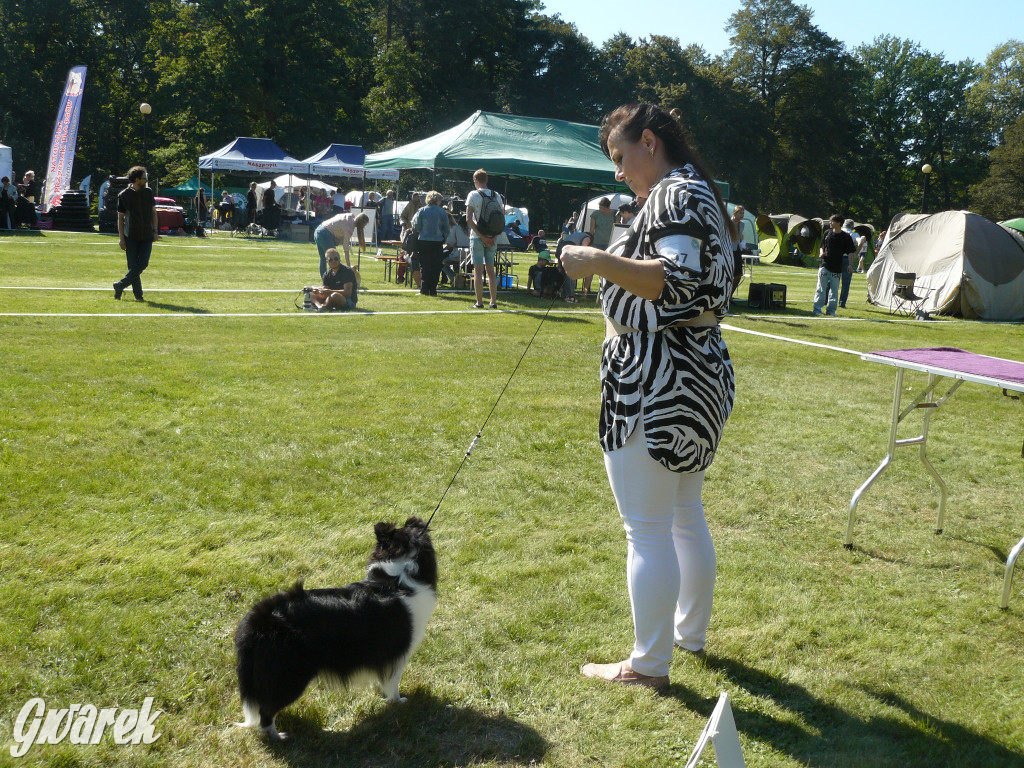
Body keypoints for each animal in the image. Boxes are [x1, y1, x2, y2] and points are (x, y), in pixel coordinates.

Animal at [234, 518, 438, 741]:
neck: (397, 579)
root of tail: (257, 620)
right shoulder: (398, 653)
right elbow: (393, 682)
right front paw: (398, 701)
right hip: (289, 674)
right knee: (266, 711)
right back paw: (278, 737)